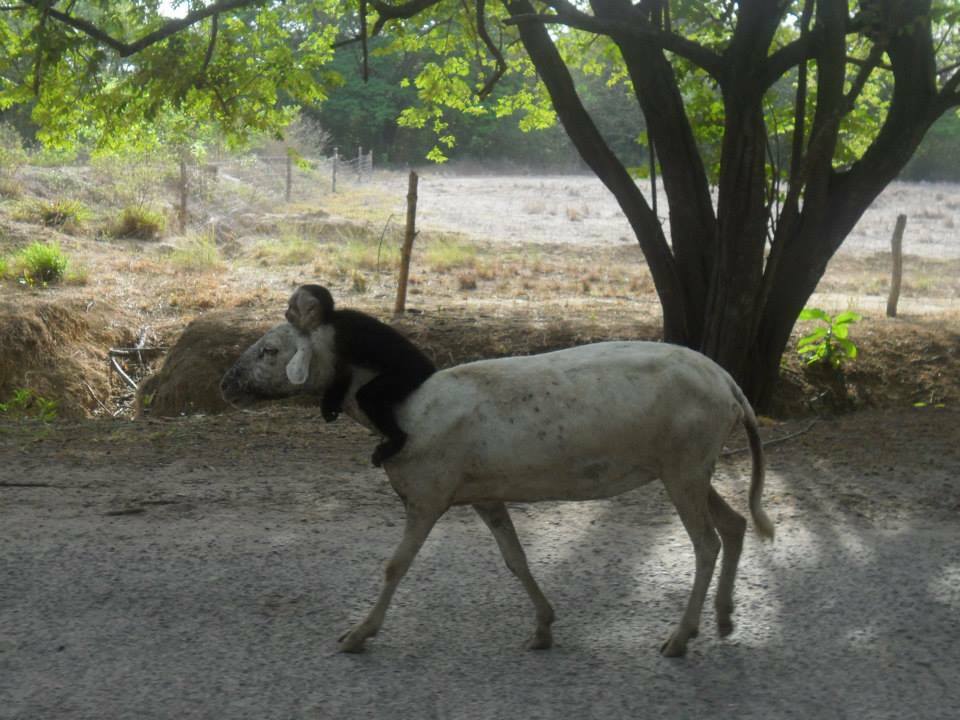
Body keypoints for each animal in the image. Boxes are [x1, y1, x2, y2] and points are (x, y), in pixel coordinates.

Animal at [221, 326, 776, 660]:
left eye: (270, 350)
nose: (226, 382)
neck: (403, 409)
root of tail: (730, 385)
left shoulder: (427, 493)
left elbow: (396, 566)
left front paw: (358, 634)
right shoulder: (483, 495)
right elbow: (515, 559)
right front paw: (543, 627)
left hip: (685, 461)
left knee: (707, 543)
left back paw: (680, 638)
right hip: (690, 466)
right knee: (734, 525)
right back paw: (724, 618)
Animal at [284, 282, 436, 466]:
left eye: (292, 307)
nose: (285, 313)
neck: (327, 319)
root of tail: (428, 368)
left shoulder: (325, 337)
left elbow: (340, 373)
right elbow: (344, 372)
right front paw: (330, 404)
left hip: (409, 374)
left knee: (368, 396)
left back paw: (397, 439)